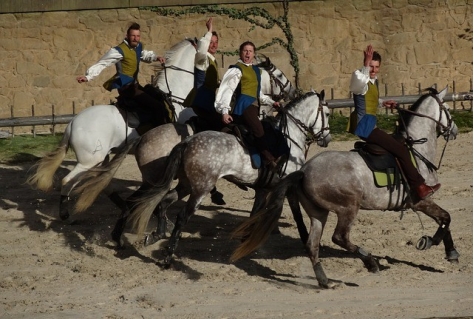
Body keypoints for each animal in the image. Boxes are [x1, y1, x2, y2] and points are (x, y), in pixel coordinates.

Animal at [25, 38, 296, 221]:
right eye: (281, 75)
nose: (292, 92)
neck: (179, 97)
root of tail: (73, 123)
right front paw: (217, 193)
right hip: (89, 160)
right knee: (68, 181)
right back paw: (65, 212)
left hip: (101, 158)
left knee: (102, 183)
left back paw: (124, 206)